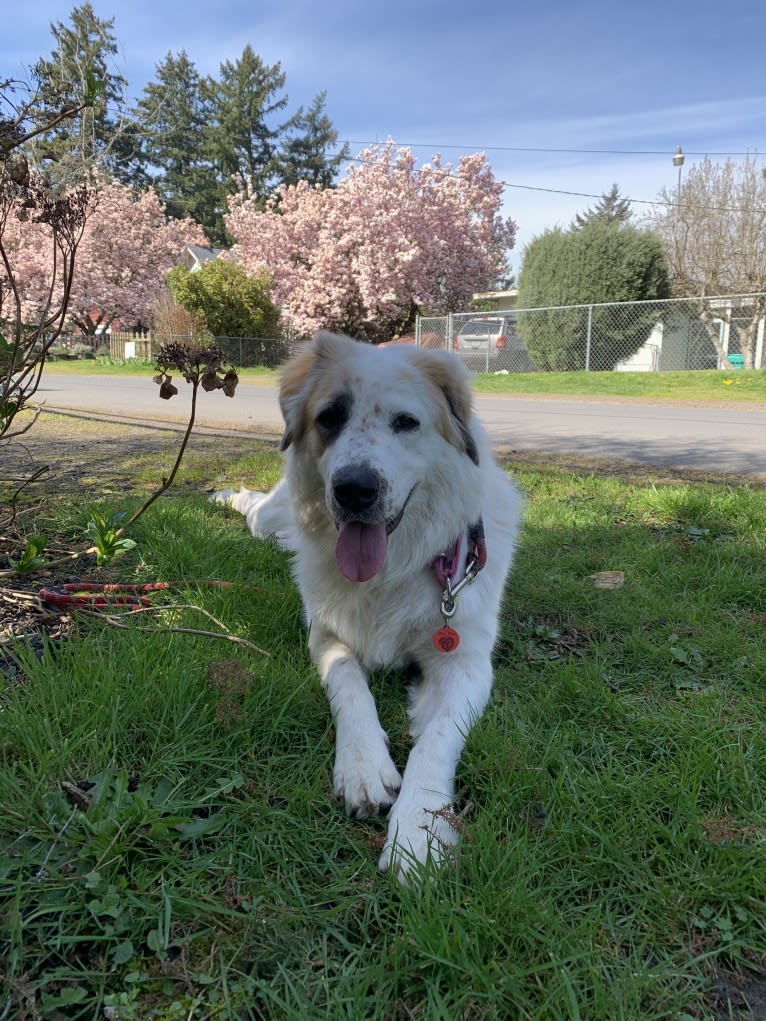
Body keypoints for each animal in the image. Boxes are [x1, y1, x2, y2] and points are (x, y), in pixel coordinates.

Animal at [211, 332, 522, 878]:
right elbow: (349, 686)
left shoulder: (466, 661)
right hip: (270, 516)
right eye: (330, 417)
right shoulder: (326, 635)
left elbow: (437, 738)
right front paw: (363, 767)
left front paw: (418, 828)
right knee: (255, 507)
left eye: (406, 422)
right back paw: (233, 500)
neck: (393, 570)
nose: (355, 489)